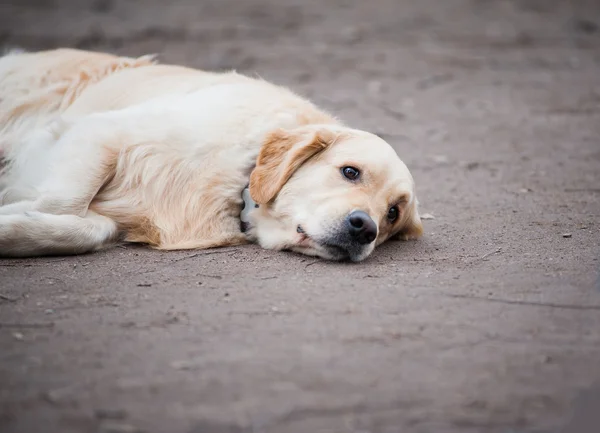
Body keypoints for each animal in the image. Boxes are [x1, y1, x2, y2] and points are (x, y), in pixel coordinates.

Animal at [0, 49, 422, 262]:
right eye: (350, 172)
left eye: (392, 214)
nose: (365, 228)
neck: (237, 182)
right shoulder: (101, 133)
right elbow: (62, 204)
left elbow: (87, 228)